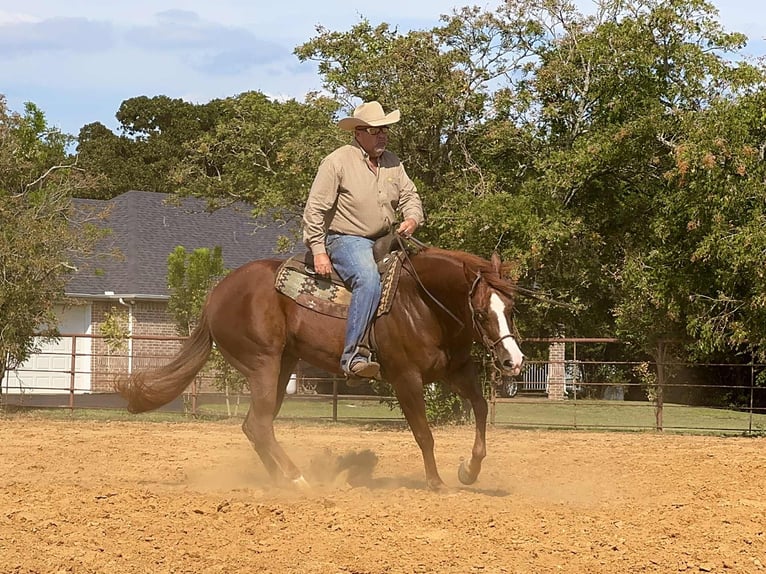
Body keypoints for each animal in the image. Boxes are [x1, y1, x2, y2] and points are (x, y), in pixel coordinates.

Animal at [116, 246, 524, 491]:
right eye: (481, 312)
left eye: (510, 307)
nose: (513, 361)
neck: (420, 304)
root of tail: (216, 294)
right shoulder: (406, 378)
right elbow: (424, 433)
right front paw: (436, 482)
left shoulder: (457, 372)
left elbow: (481, 408)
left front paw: (469, 471)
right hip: (263, 364)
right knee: (260, 424)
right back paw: (297, 480)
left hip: (283, 366)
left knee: (254, 426)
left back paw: (280, 480)